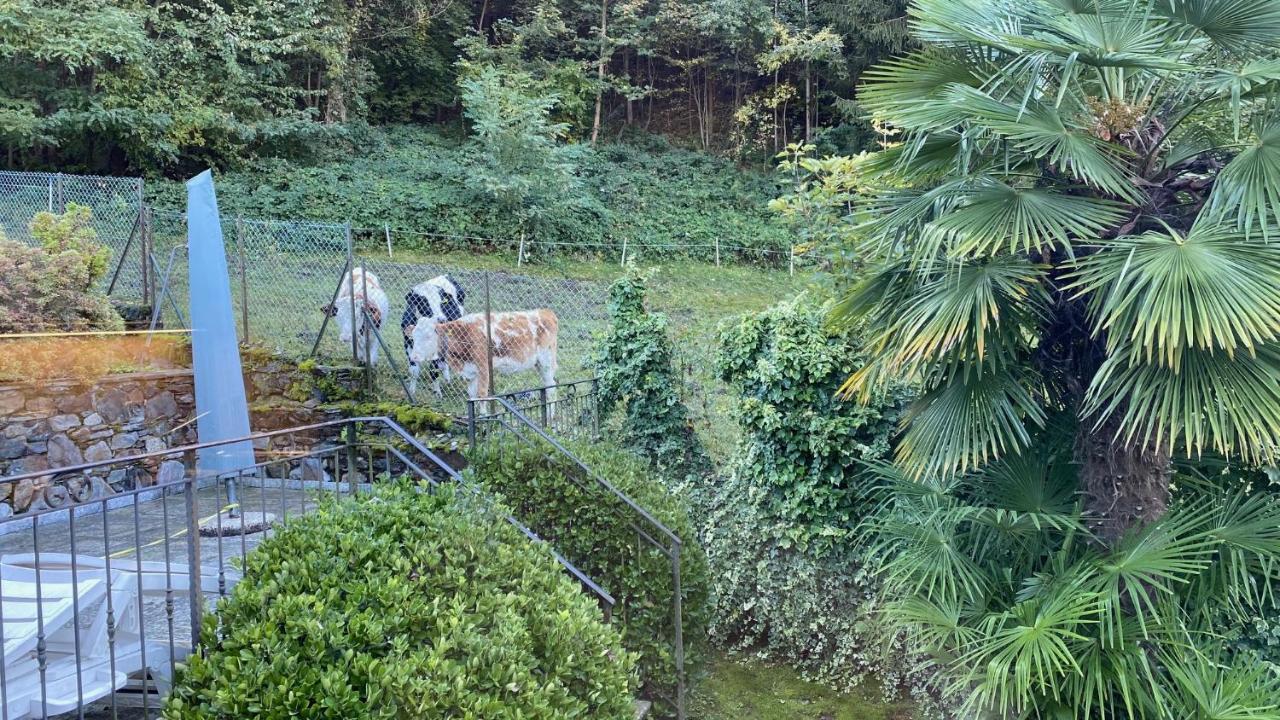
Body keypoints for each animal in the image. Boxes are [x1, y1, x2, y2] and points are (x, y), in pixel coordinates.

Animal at [404, 307, 555, 404]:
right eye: (413, 338)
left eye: (428, 336)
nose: (414, 357)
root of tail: (545, 311)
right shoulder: (472, 372)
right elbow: (472, 395)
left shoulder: (483, 368)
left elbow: (482, 395)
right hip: (539, 364)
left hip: (547, 362)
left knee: (551, 388)